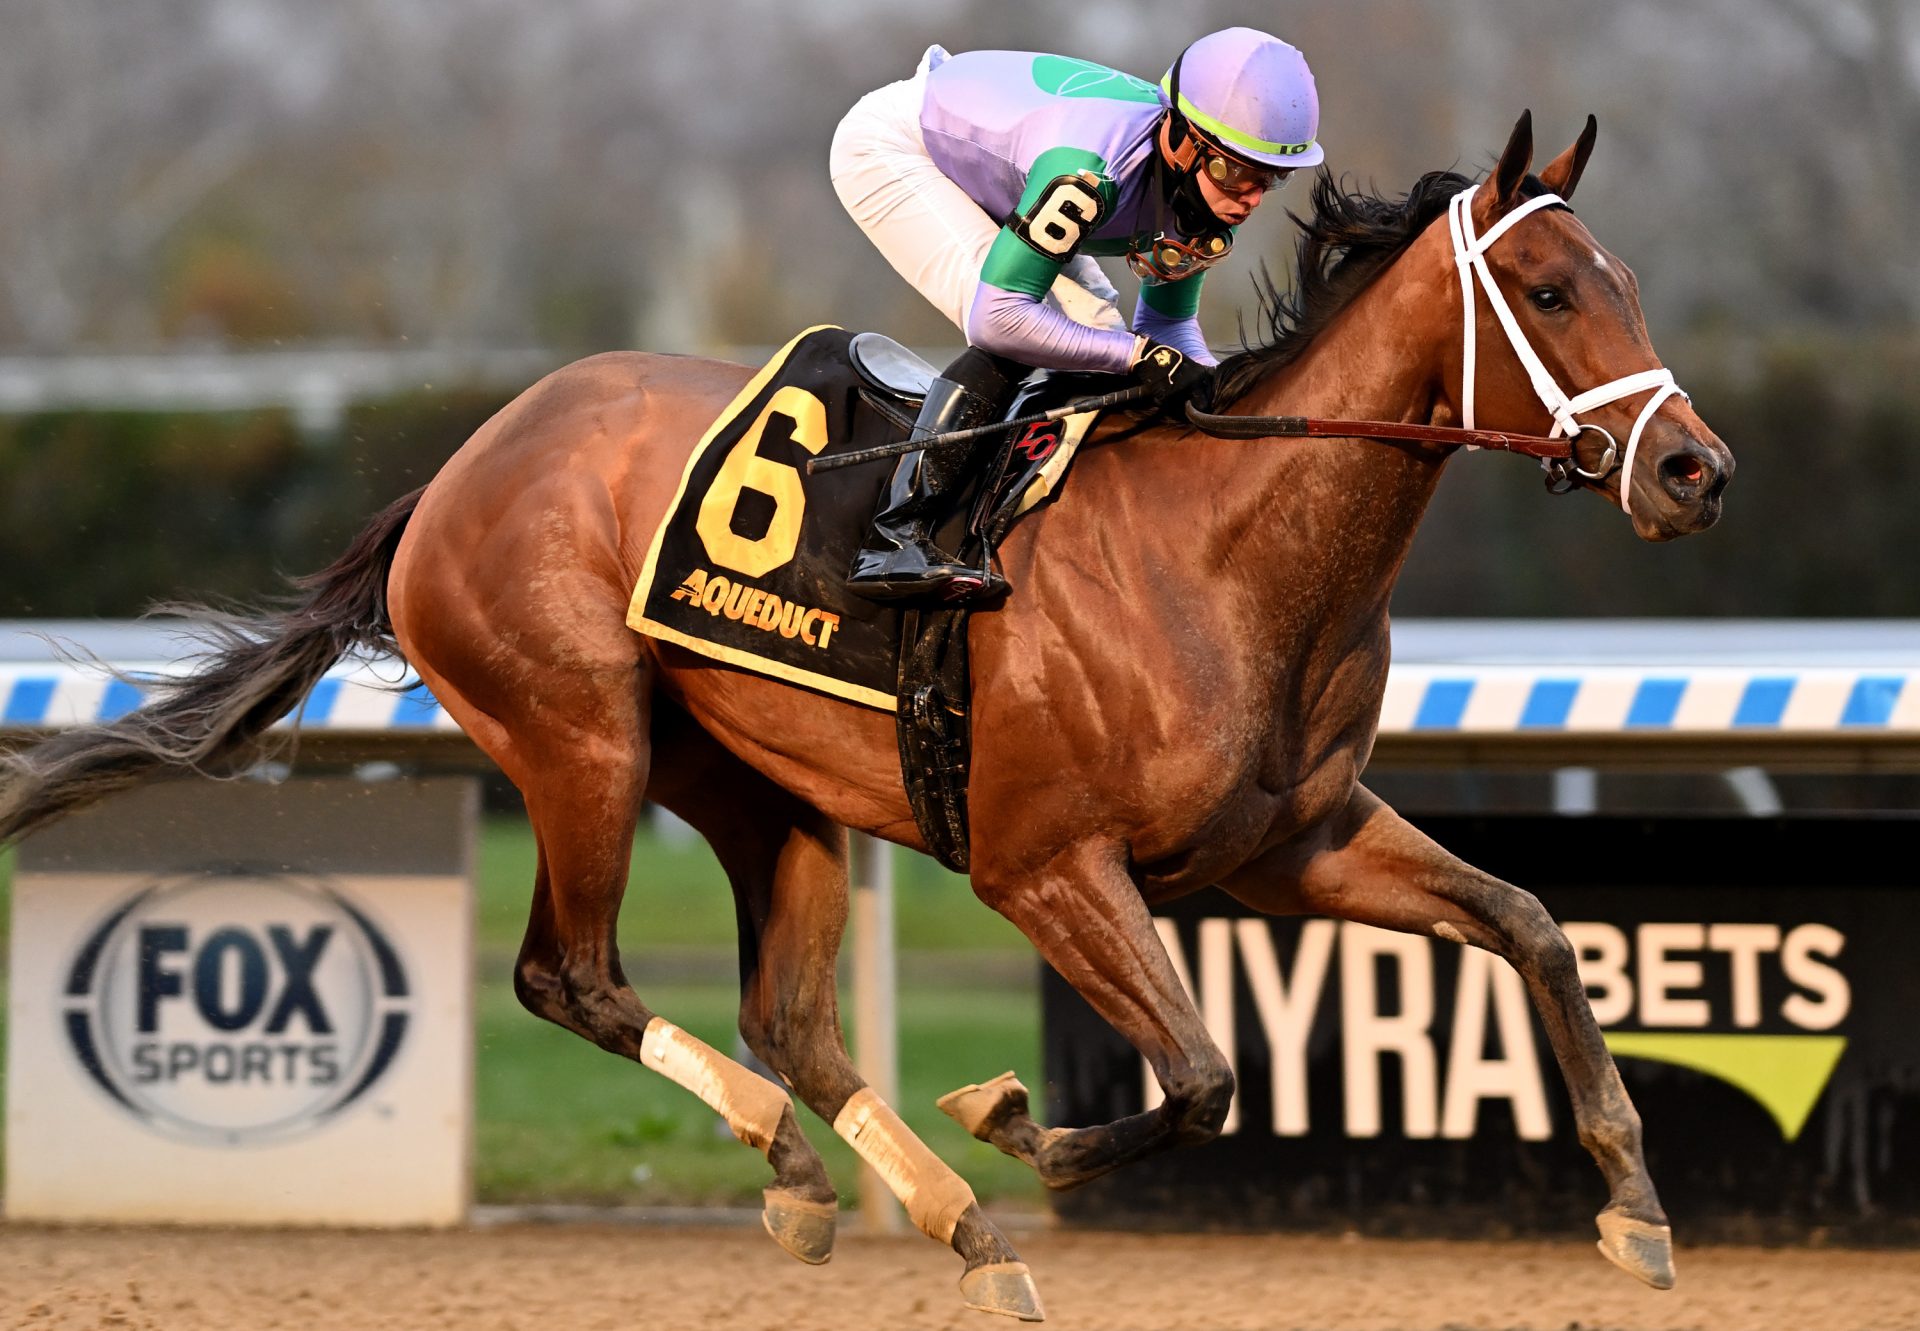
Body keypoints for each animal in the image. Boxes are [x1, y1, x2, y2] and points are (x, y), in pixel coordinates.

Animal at [0, 116, 1735, 1321]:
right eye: (1547, 288)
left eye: (1634, 283)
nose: (1695, 468)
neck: (1226, 548)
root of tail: (461, 464)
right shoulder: (1044, 864)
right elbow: (1199, 1075)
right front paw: (1017, 1120)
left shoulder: (1287, 845)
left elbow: (1530, 922)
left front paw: (1636, 1204)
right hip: (579, 739)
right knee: (573, 974)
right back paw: (818, 1155)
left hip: (762, 791)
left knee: (792, 1019)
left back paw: (923, 1210)